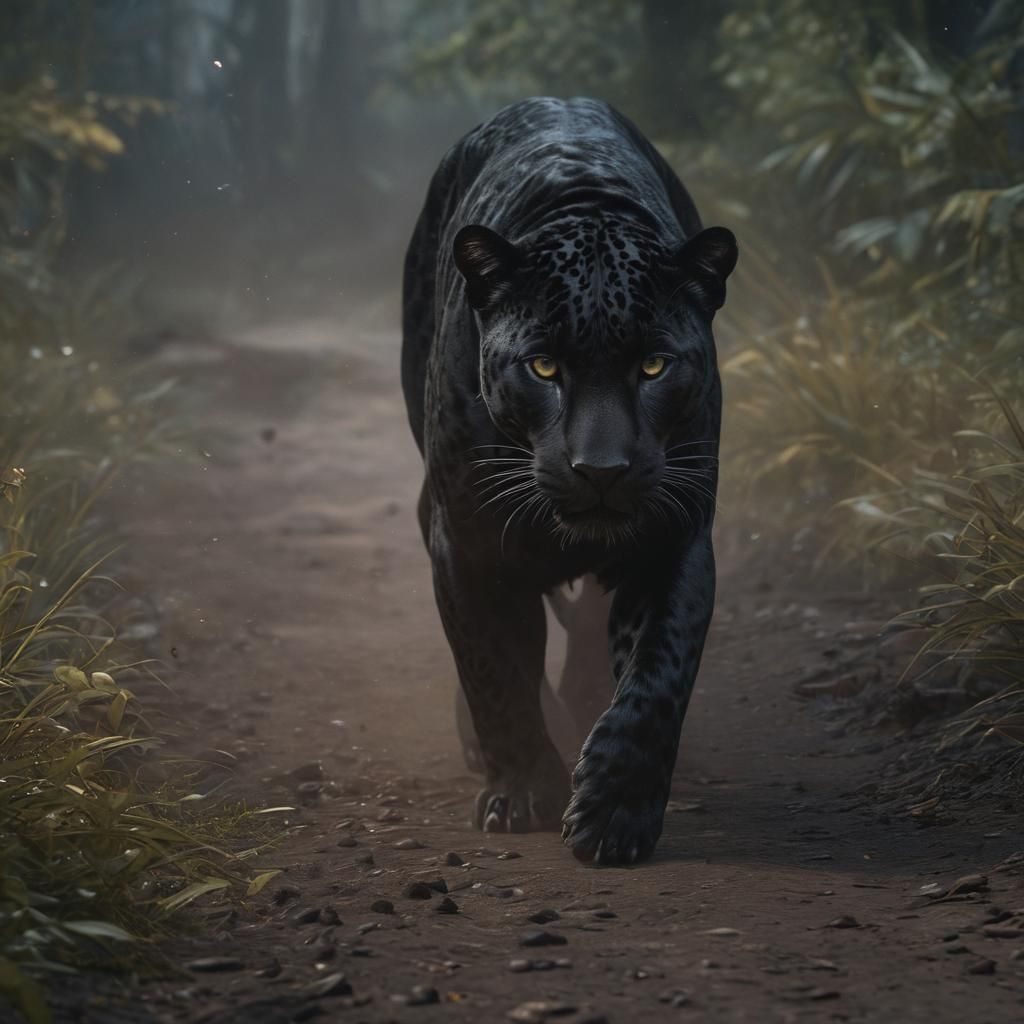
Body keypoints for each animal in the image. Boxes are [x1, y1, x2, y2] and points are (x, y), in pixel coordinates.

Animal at [401, 96, 737, 865]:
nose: (601, 469)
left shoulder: (676, 536)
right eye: (544, 367)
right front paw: (525, 791)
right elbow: (493, 668)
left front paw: (614, 812)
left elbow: (660, 672)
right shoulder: (466, 546)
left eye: (654, 366)